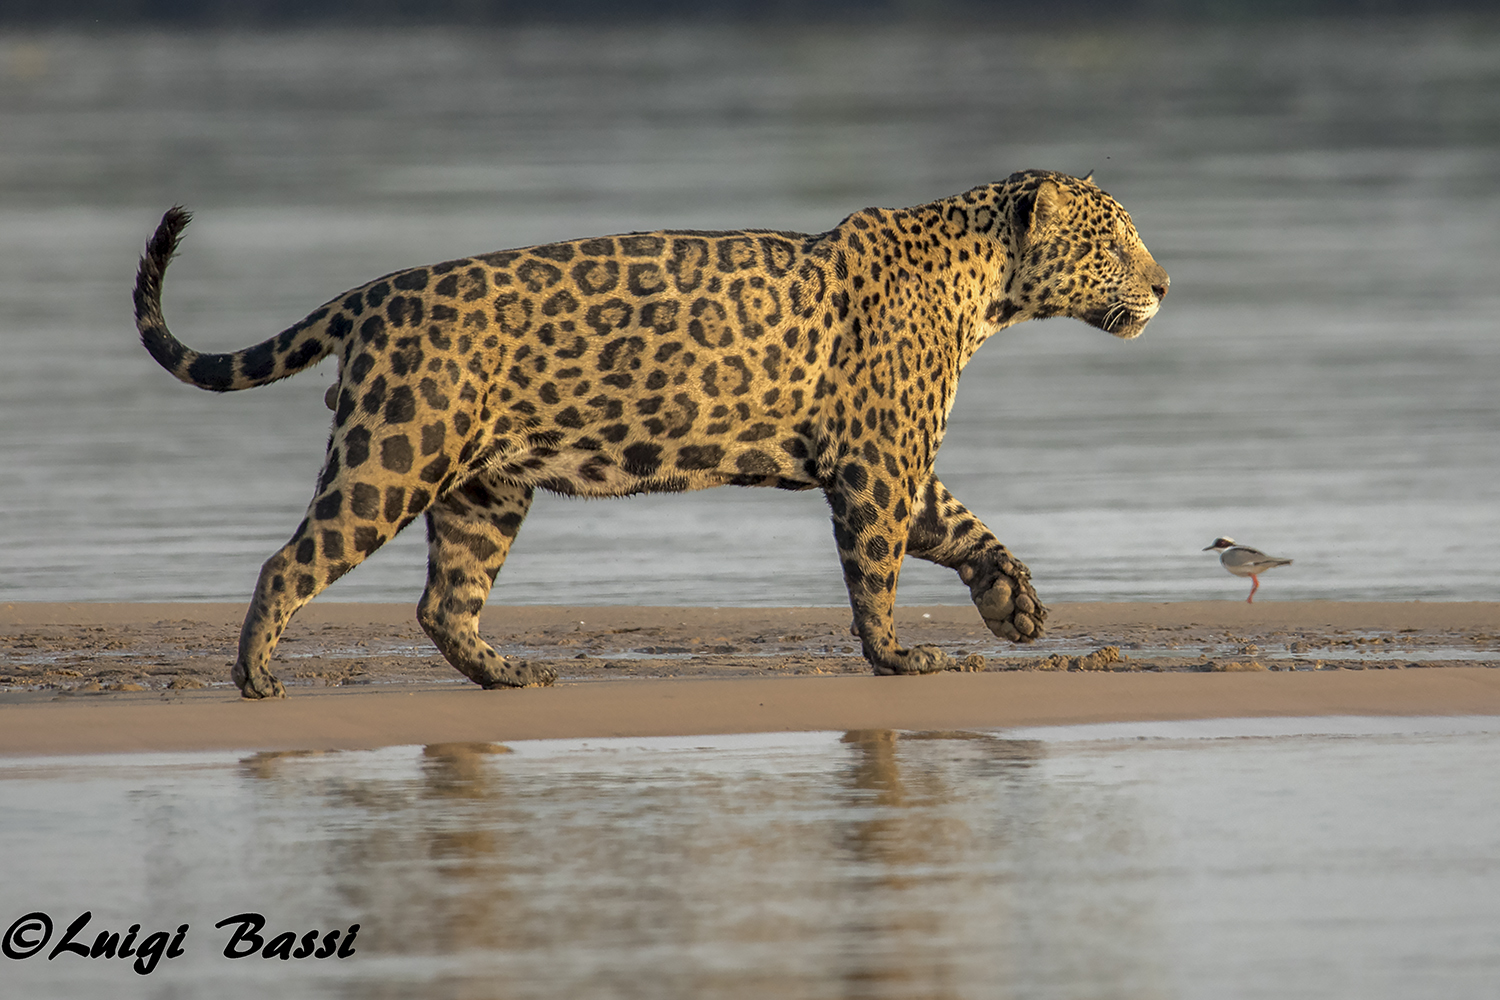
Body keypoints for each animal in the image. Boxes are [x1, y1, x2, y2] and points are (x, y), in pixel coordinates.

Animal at [133, 169, 1168, 699]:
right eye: (1113, 241)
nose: (1164, 285)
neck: (984, 287)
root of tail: (372, 293)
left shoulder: (896, 458)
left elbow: (961, 526)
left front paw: (1013, 604)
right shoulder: (877, 464)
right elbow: (878, 569)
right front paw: (898, 658)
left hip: (486, 487)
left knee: (443, 601)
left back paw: (510, 674)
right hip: (396, 452)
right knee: (292, 561)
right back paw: (255, 676)